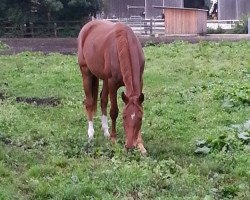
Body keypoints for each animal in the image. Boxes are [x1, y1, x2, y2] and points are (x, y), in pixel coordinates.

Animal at [77, 20, 146, 152]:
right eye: (124, 117)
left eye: (139, 118)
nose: (129, 146)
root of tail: (88, 25)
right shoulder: (112, 83)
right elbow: (114, 111)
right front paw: (114, 139)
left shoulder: (140, 81)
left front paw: (140, 144)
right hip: (86, 72)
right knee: (89, 102)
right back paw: (91, 134)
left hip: (104, 79)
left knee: (103, 99)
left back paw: (106, 132)